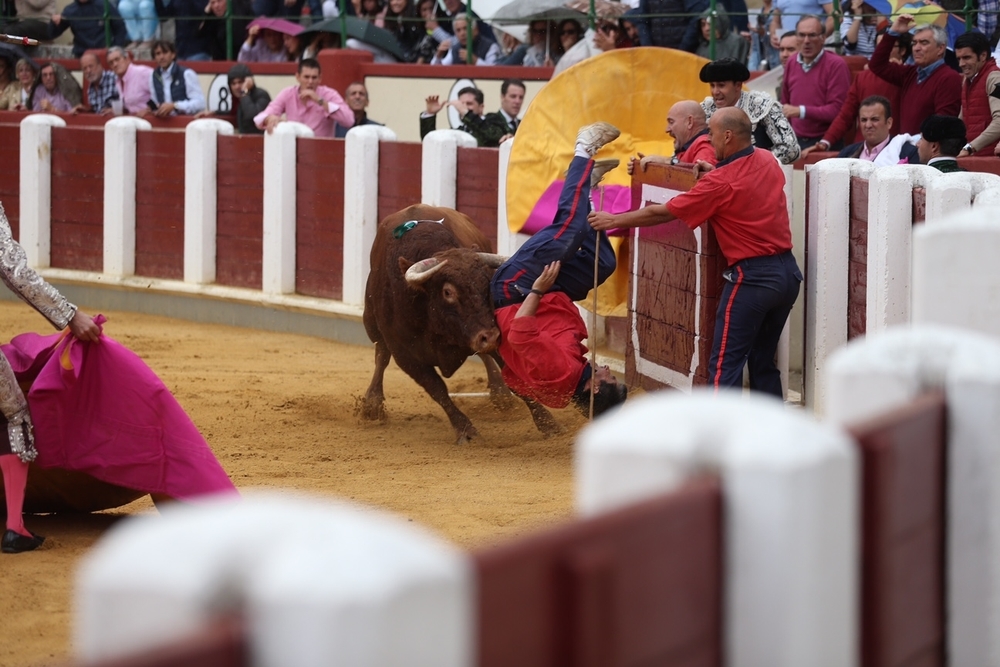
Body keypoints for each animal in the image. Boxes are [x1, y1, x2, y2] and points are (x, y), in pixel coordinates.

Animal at [362, 204, 564, 444]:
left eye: (487, 283)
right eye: (448, 292)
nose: (491, 336)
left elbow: (515, 379)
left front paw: (548, 423)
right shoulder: (406, 356)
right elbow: (438, 389)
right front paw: (466, 431)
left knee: (485, 356)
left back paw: (500, 394)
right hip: (370, 321)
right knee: (381, 353)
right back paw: (372, 404)